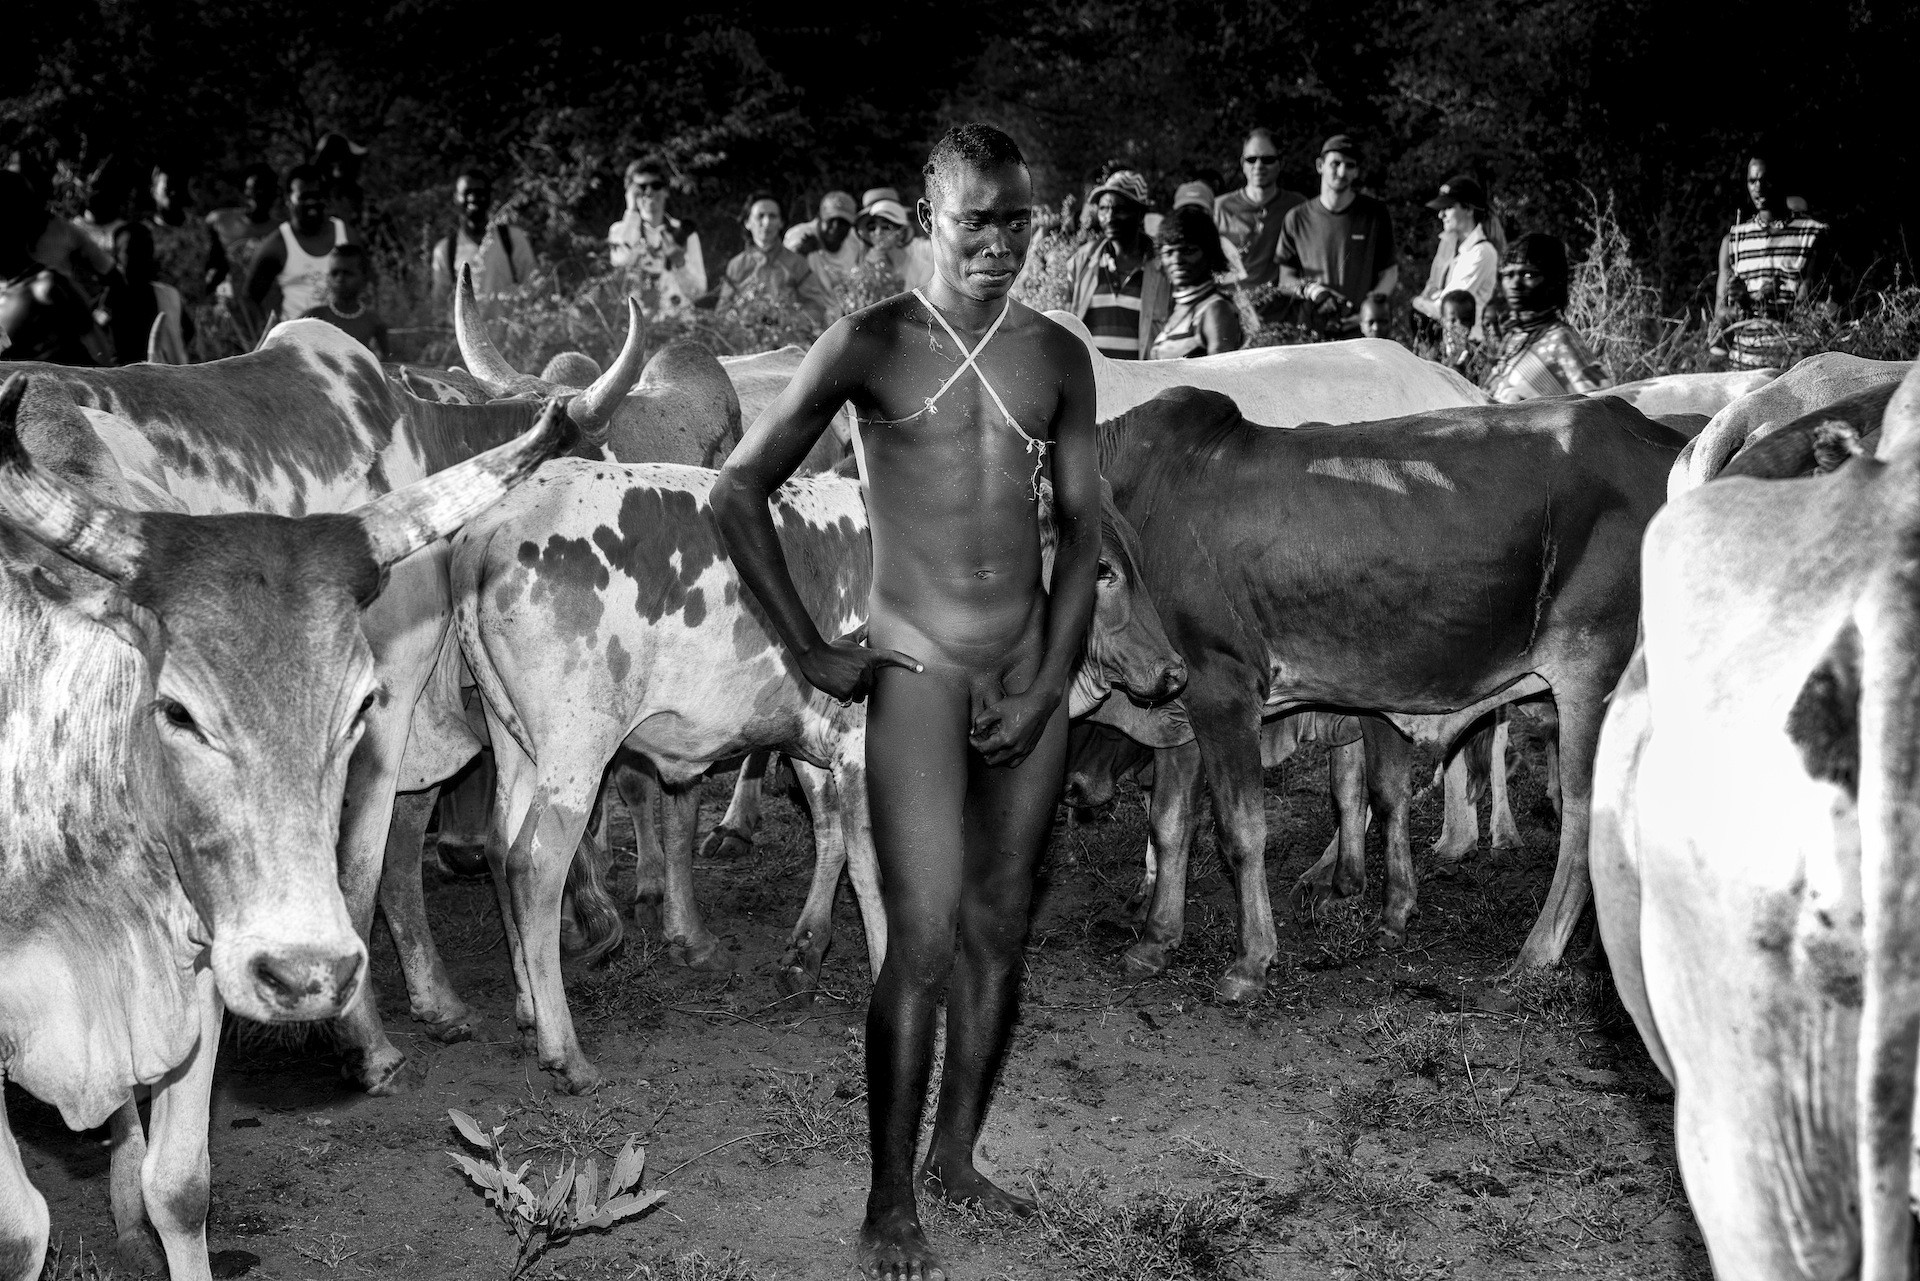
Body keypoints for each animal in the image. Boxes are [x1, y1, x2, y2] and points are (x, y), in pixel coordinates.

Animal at [0, 377, 570, 1280]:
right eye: (176, 710)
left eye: (362, 704)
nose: (308, 975)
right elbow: (19, 1229)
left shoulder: (201, 965)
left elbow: (181, 1187)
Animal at [4, 313, 645, 1094]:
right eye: (593, 465)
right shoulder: (384, 701)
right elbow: (361, 872)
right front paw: (366, 1044)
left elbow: (402, 857)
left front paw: (436, 1003)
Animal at [448, 462, 1185, 1092]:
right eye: (1104, 570)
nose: (1175, 669)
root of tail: (496, 523)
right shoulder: (866, 751)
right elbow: (878, 871)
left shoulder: (815, 742)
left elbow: (831, 838)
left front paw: (806, 949)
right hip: (577, 745)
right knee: (535, 865)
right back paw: (565, 1050)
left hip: (516, 744)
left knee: (499, 847)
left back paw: (527, 1007)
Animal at [1099, 387, 1678, 996]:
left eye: (1107, 569)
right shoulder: (1177, 709)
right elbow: (1169, 823)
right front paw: (1154, 943)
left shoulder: (1222, 689)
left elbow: (1241, 829)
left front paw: (1251, 961)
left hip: (1593, 676)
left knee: (1588, 814)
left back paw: (1537, 953)